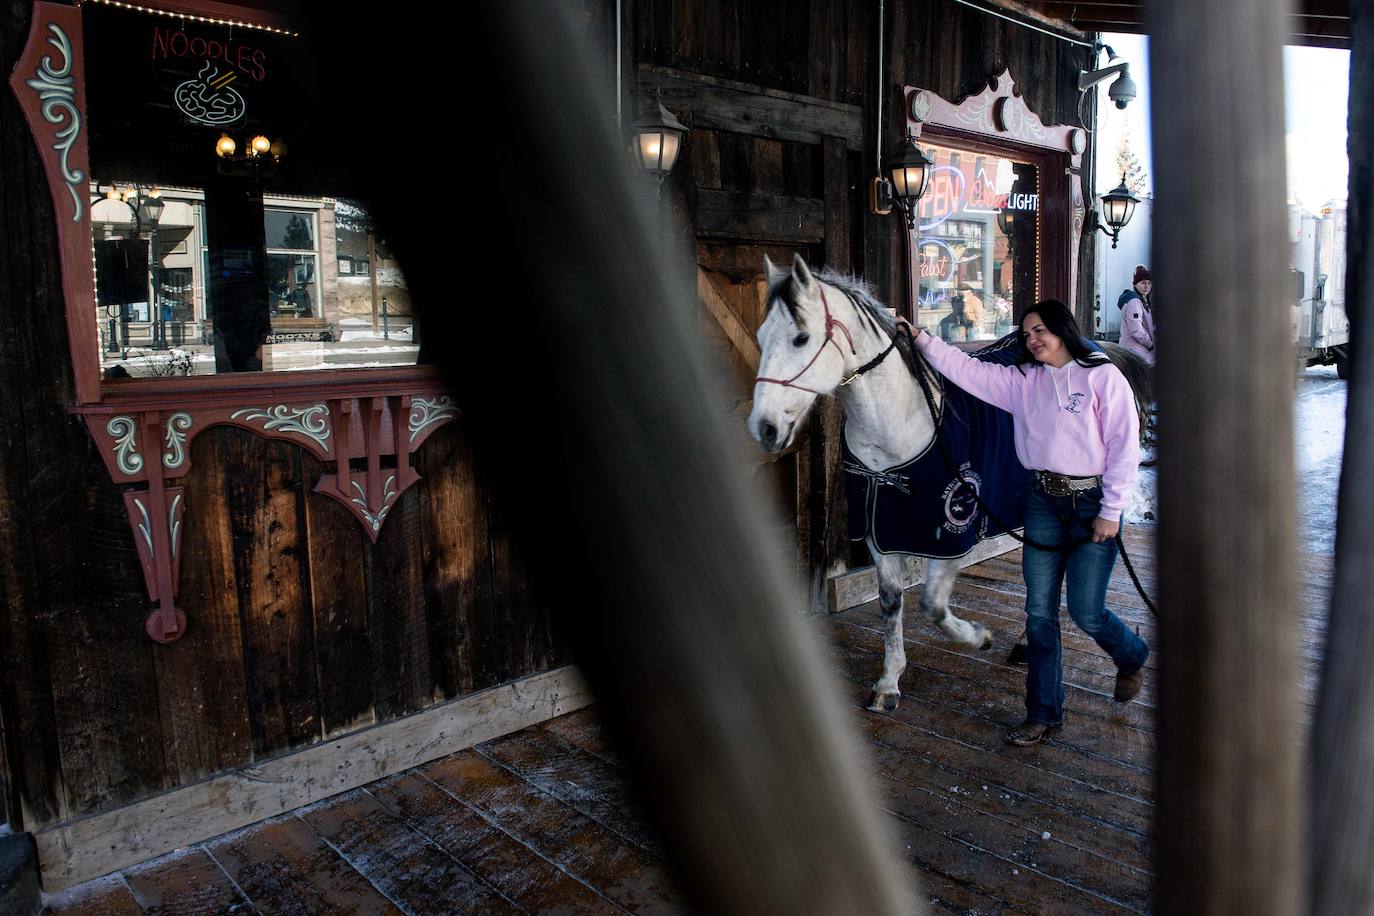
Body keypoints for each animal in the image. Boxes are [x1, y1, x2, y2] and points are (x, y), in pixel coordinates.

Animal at [747, 254, 994, 714]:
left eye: (801, 338)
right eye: (760, 337)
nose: (764, 428)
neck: (902, 420)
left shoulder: (951, 534)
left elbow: (933, 606)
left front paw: (978, 637)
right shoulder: (881, 531)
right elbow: (891, 601)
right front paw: (889, 682)